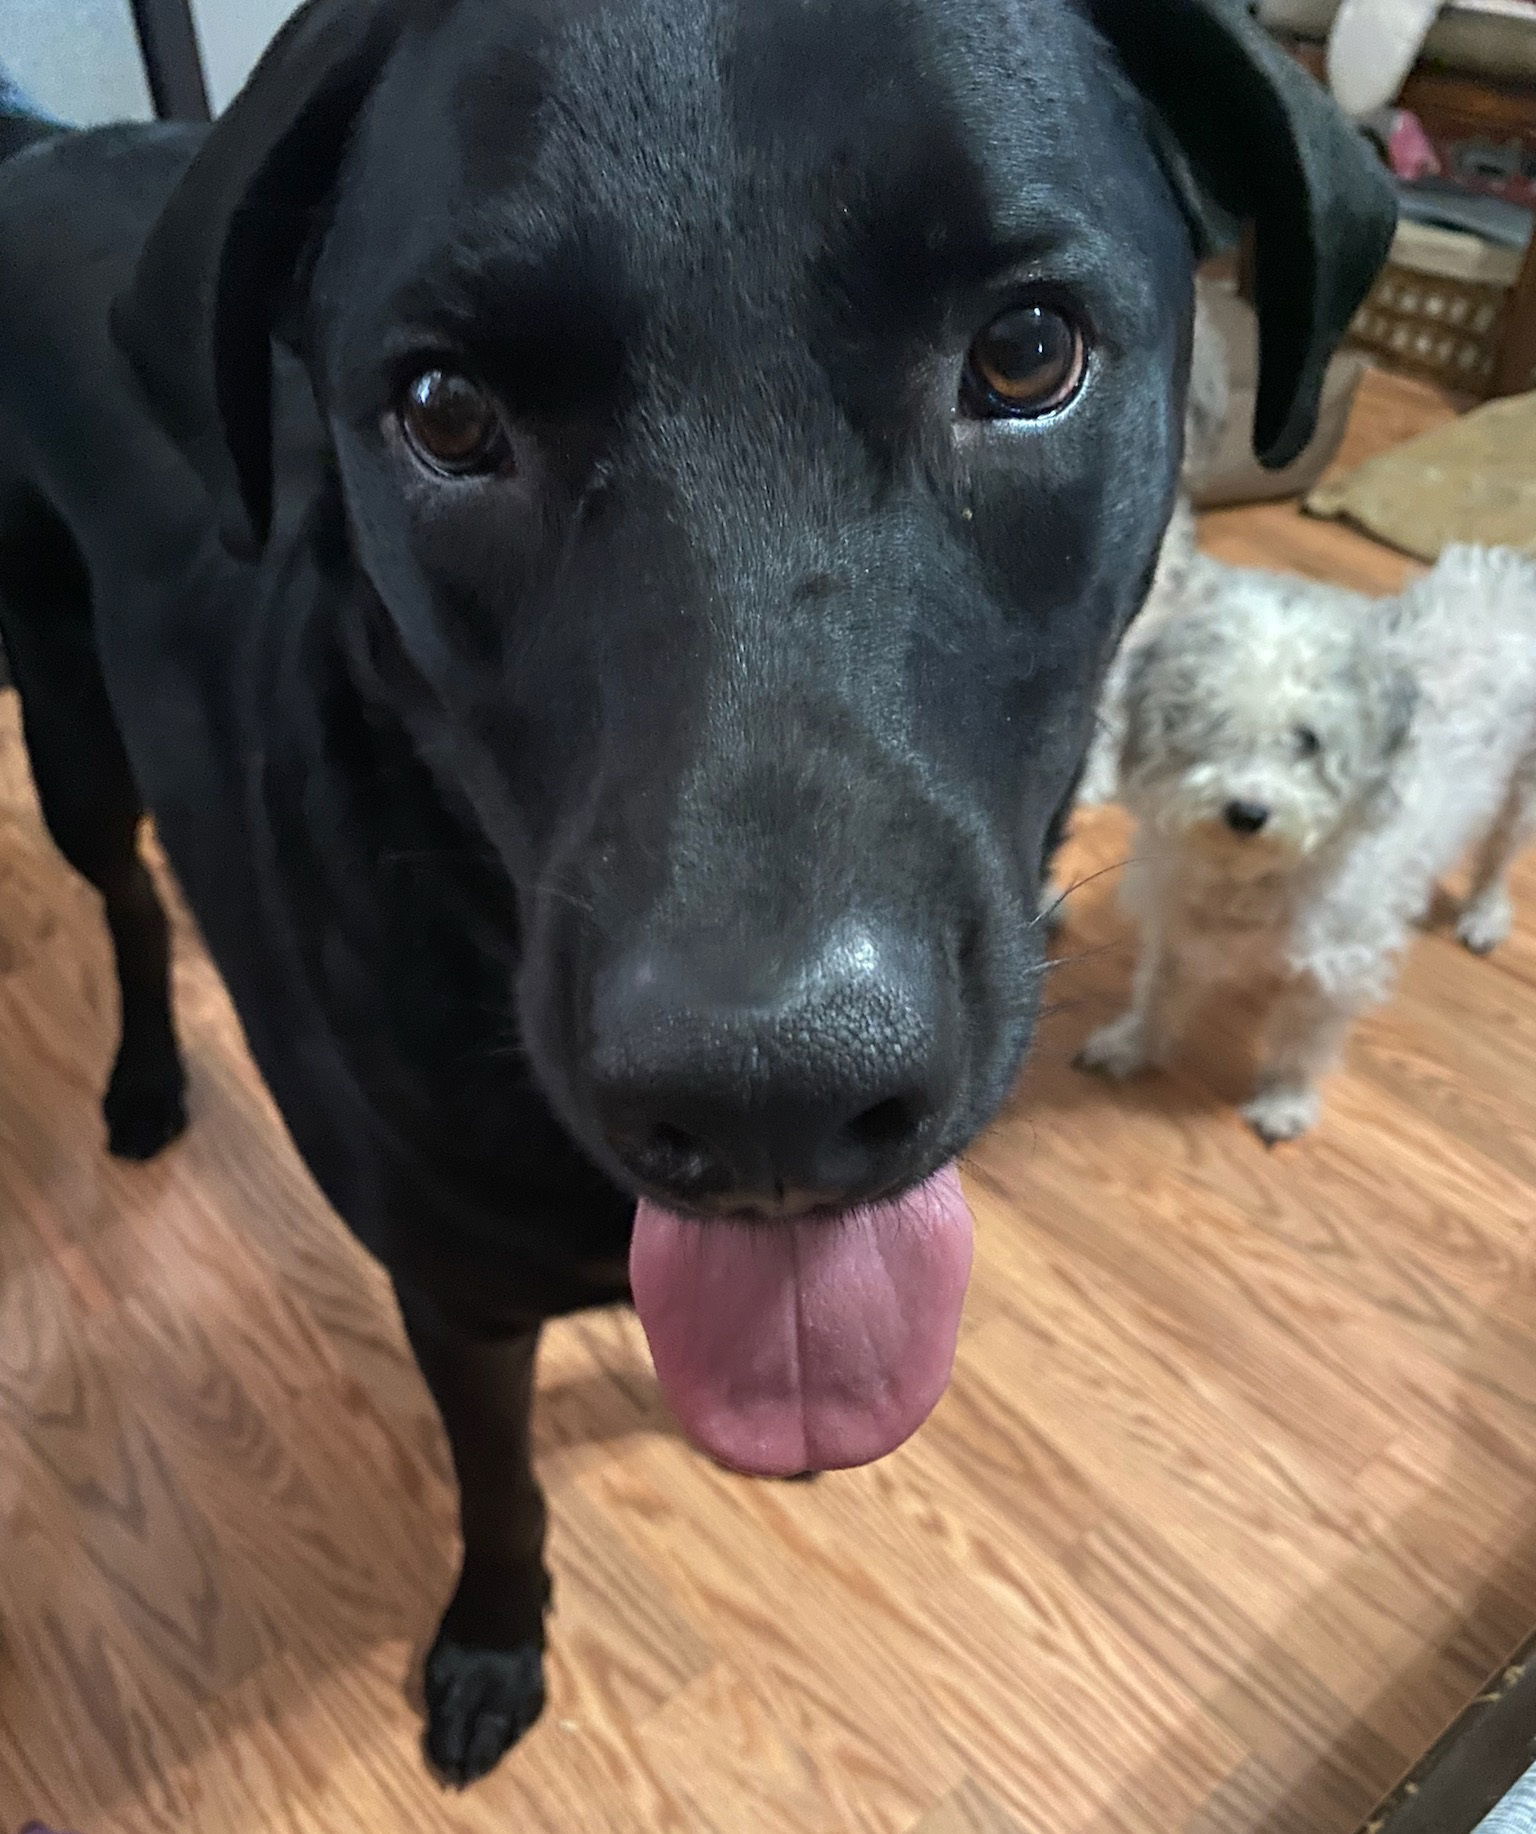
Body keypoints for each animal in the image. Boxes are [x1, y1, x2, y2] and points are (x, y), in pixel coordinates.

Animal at [0, 0, 1393, 1782]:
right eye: (445, 412)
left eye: (1027, 353)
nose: (770, 1100)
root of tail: (51, 143)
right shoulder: (452, 1297)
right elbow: (499, 1481)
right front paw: (494, 1638)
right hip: (65, 727)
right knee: (122, 895)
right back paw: (144, 1076)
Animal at [1077, 539, 1536, 1144]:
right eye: (1209, 719)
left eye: (1308, 739)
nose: (1247, 812)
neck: (1254, 875)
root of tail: (1514, 571)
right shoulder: (1176, 927)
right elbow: (1157, 993)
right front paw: (1133, 1046)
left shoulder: (1334, 969)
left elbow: (1299, 1042)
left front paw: (1283, 1102)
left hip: (1521, 794)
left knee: (1496, 861)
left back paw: (1484, 917)